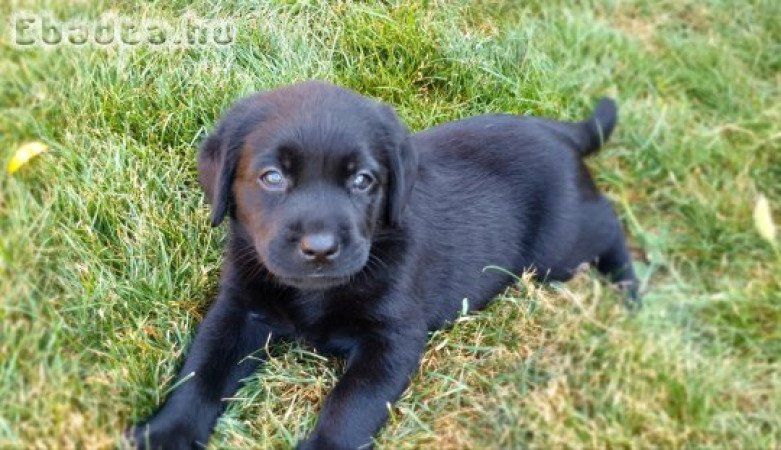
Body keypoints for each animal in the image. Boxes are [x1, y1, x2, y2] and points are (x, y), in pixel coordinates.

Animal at [131, 81, 636, 450]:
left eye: (362, 180)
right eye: (272, 177)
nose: (320, 247)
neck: (314, 292)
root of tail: (559, 131)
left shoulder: (393, 337)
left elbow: (351, 405)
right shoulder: (239, 309)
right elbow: (201, 371)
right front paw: (167, 433)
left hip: (560, 247)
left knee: (610, 225)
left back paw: (631, 289)